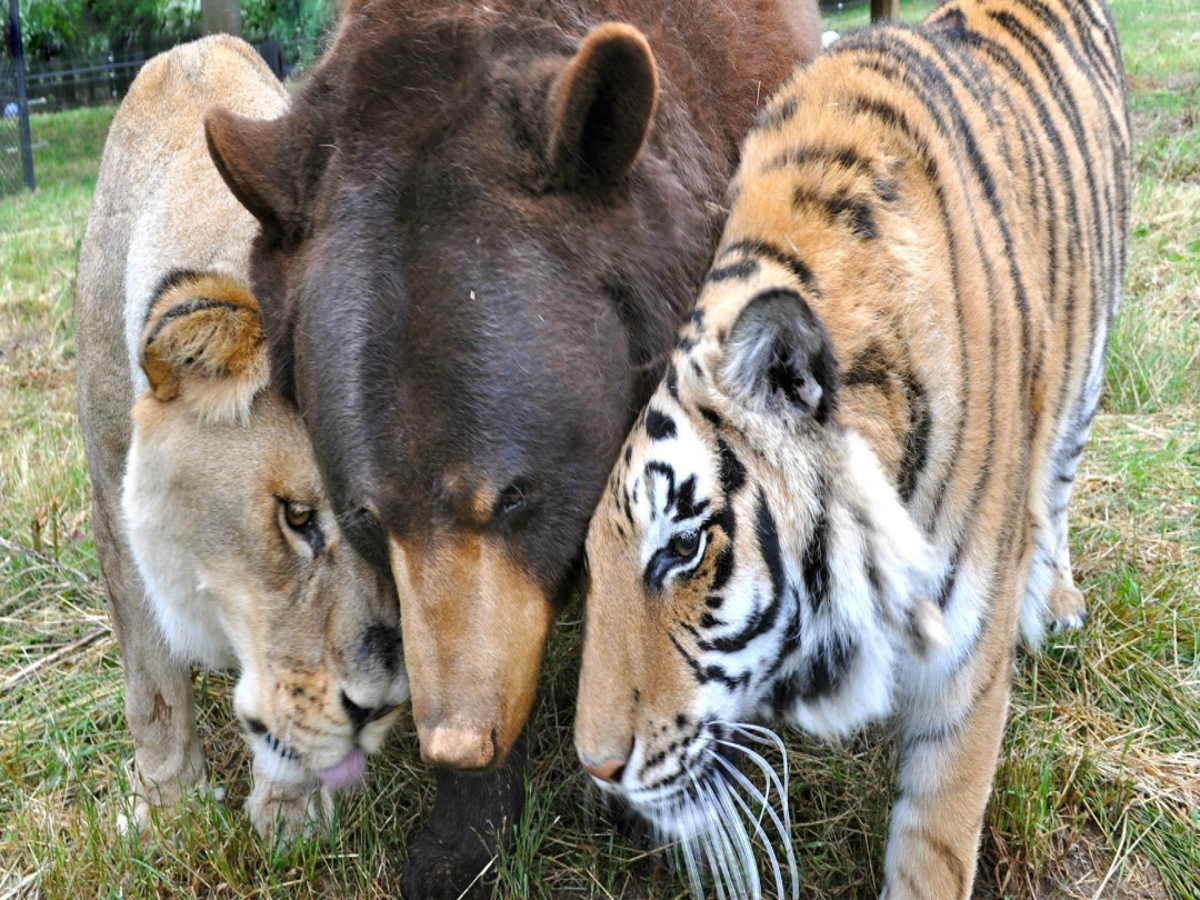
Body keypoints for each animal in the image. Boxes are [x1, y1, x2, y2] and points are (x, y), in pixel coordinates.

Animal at [77, 33, 412, 840]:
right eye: (297, 519)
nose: (380, 708)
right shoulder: (111, 503)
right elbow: (151, 683)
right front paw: (167, 809)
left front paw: (291, 815)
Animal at [576, 3, 1128, 897]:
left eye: (684, 548)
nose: (595, 768)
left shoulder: (965, 665)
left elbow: (935, 843)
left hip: (1086, 376)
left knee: (1058, 486)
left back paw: (1057, 599)